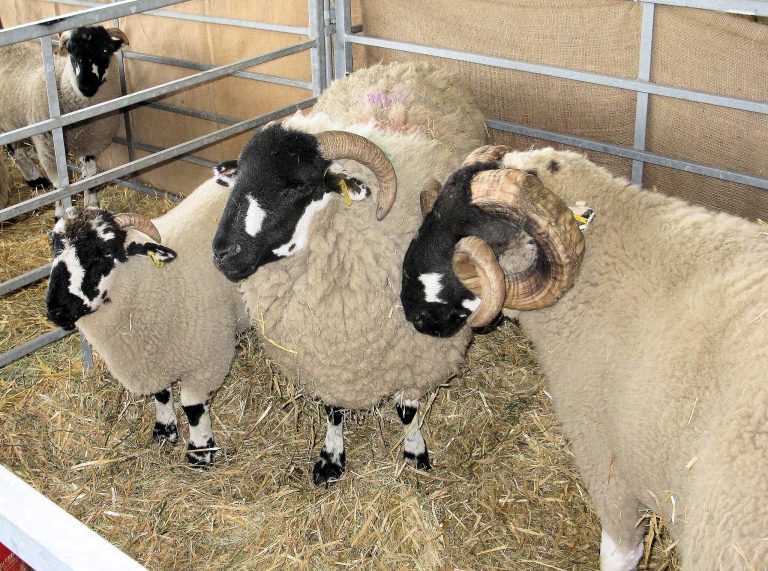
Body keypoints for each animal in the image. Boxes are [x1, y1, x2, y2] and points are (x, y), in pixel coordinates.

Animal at [0, 25, 128, 216]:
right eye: (71, 52)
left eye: (106, 50)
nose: (86, 86)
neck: (61, 80)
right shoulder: (48, 146)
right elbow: (60, 185)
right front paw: (60, 213)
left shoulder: (89, 142)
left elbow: (90, 174)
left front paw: (91, 203)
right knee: (15, 151)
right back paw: (36, 179)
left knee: (16, 150)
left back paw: (36, 180)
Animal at [45, 174, 249, 466]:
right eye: (55, 248)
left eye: (106, 253)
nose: (56, 309)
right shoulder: (150, 359)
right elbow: (161, 394)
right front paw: (165, 431)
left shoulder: (208, 360)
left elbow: (194, 408)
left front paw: (200, 452)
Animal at [211, 62, 488, 484]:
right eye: (237, 179)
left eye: (299, 185)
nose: (223, 252)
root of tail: (408, 64)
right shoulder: (326, 362)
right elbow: (333, 411)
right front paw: (331, 458)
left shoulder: (419, 351)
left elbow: (407, 409)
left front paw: (415, 451)